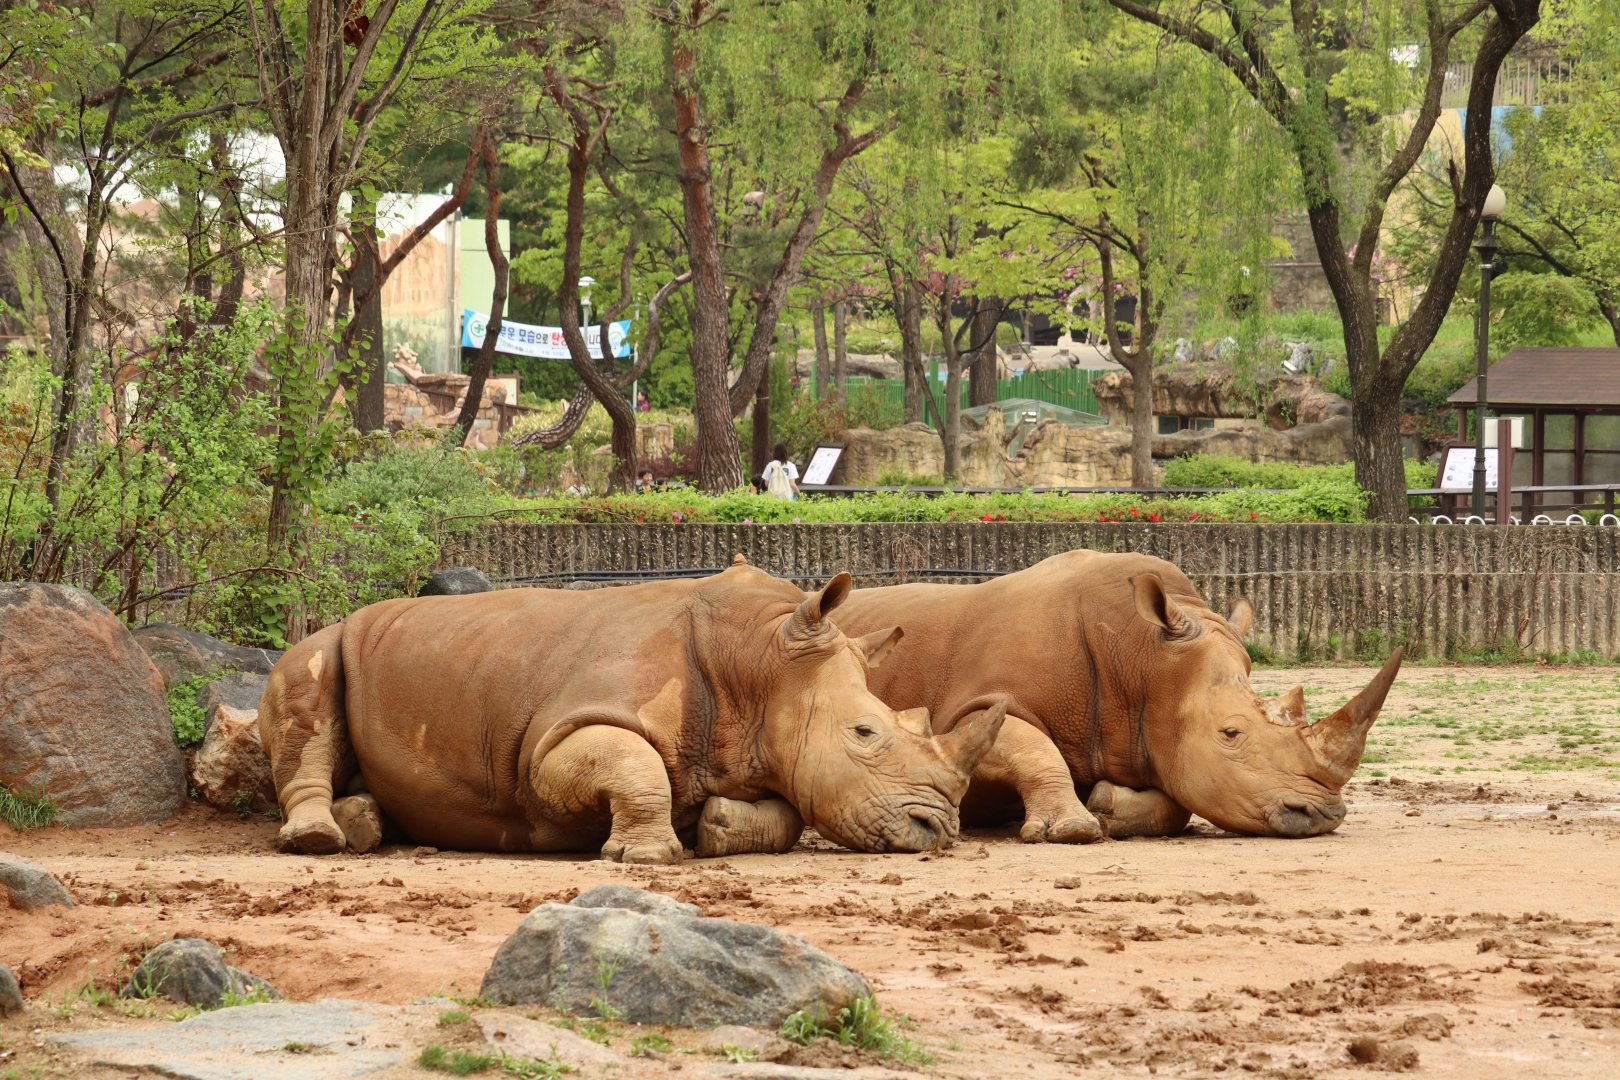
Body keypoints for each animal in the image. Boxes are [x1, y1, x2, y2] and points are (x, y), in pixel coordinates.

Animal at [258, 560, 1005, 862]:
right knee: (308, 689)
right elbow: (633, 763)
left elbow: (789, 812)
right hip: (329, 641)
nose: (939, 831)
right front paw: (647, 857)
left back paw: (364, 825)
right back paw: (320, 841)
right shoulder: (552, 744)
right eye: (865, 732)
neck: (757, 662)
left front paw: (716, 828)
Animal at [832, 550, 1402, 841]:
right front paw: (1072, 828)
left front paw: (1106, 805)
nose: (1323, 816)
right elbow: (1029, 743)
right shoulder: (966, 708)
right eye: (1231, 733)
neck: (1143, 659)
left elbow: (1177, 805)